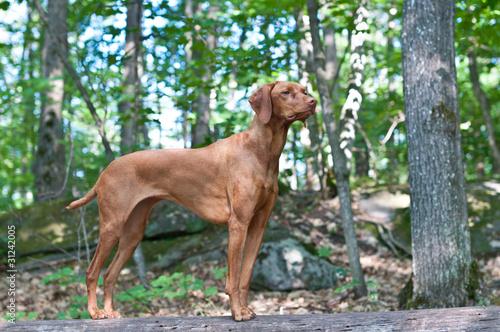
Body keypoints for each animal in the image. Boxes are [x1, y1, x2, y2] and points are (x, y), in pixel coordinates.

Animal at [66, 81, 316, 322]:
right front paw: (237, 312)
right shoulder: (238, 223)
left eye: (304, 91)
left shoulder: (258, 225)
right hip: (112, 226)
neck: (260, 150)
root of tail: (104, 172)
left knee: (110, 274)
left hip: (133, 234)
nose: (313, 101)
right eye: (286, 92)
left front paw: (245, 309)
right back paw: (95, 312)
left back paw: (110, 312)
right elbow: (234, 278)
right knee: (91, 272)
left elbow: (245, 276)